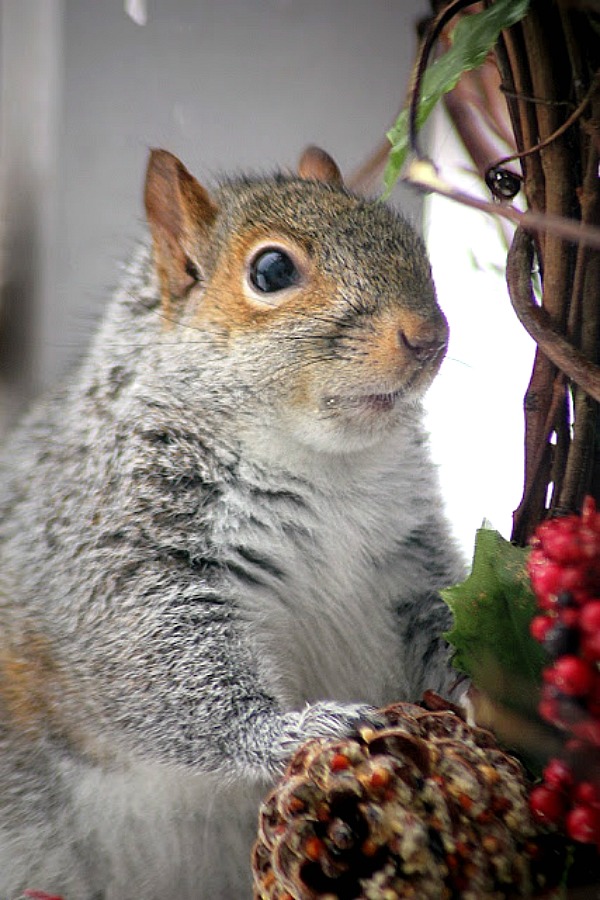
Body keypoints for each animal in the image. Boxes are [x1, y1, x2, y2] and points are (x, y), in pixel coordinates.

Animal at [0, 144, 464, 896]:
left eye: (410, 240)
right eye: (272, 271)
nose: (429, 336)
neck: (324, 469)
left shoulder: (410, 557)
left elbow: (439, 623)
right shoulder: (117, 562)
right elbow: (163, 678)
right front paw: (296, 731)